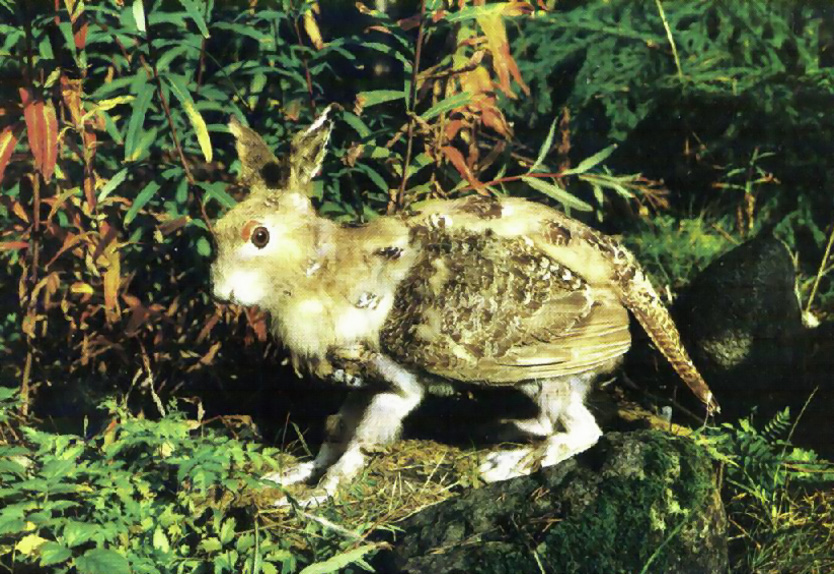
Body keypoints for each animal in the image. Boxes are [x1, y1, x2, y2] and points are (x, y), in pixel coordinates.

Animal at [210, 106, 718, 506]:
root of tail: (617, 262)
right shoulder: (360, 381)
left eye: (259, 236)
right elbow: (335, 431)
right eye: (216, 228)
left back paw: (506, 462)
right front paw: (292, 473)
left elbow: (360, 443)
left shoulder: (395, 384)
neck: (323, 275)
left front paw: (319, 493)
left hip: (549, 368)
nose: (220, 292)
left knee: (583, 431)